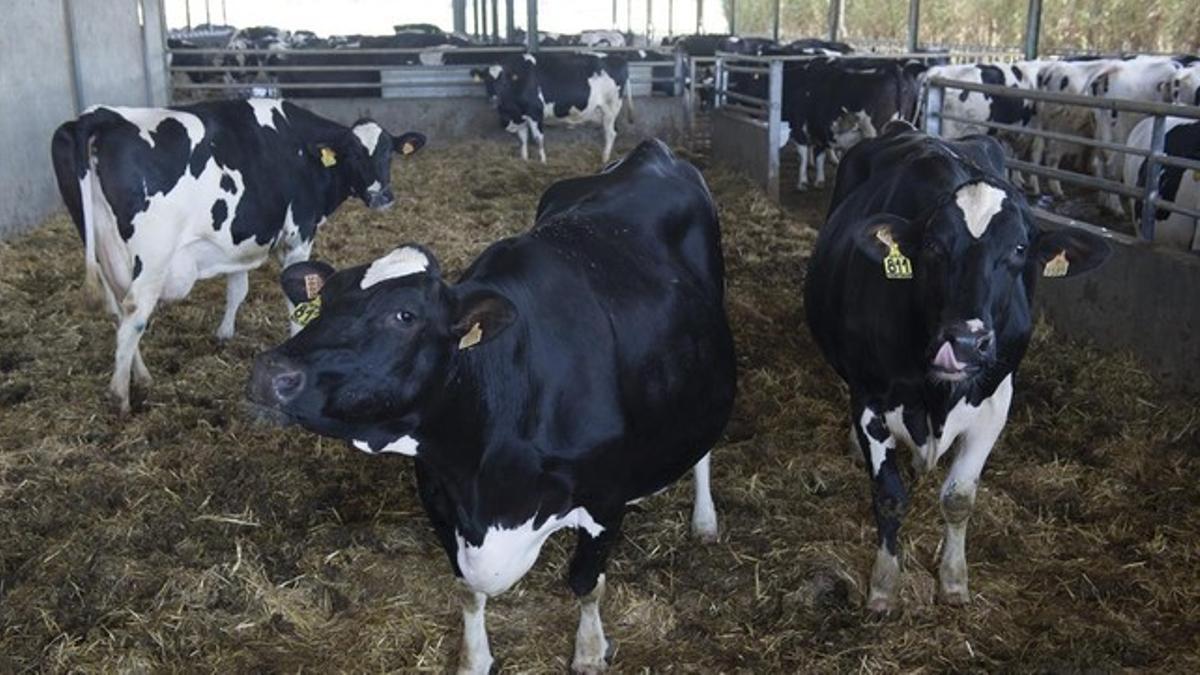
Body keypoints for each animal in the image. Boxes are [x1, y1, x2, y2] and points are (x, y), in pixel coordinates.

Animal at [51, 97, 427, 413]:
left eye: (388, 153)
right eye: (353, 154)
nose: (382, 196)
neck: (299, 147)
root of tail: (101, 115)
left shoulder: (238, 241)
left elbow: (237, 289)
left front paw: (224, 334)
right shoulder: (299, 235)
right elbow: (295, 301)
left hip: (105, 252)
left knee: (119, 313)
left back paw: (140, 376)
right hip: (152, 259)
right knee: (134, 315)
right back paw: (121, 397)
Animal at [244, 139, 734, 667]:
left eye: (405, 315)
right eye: (325, 303)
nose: (269, 373)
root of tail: (650, 150)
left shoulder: (606, 500)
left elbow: (586, 584)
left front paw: (588, 653)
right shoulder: (440, 495)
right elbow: (468, 590)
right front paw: (474, 659)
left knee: (703, 448)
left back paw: (705, 520)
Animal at [472, 51, 633, 162]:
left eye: (504, 82)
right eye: (486, 81)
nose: (493, 100)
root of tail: (618, 58)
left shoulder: (535, 113)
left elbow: (538, 139)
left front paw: (543, 162)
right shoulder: (521, 117)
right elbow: (523, 139)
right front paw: (524, 160)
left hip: (610, 108)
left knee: (610, 133)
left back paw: (605, 159)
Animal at [801, 120, 1108, 610]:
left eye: (1019, 248)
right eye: (932, 244)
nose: (964, 342)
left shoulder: (995, 404)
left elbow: (959, 498)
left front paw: (953, 579)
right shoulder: (871, 398)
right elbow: (889, 496)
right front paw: (884, 583)